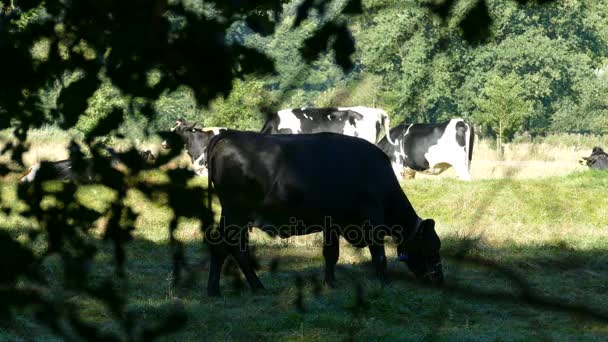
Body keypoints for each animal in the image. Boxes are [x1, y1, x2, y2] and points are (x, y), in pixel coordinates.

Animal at [204, 131, 442, 296]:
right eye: (432, 247)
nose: (438, 279)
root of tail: (230, 135)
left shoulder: (333, 222)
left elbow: (331, 254)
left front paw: (330, 283)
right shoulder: (373, 220)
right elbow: (380, 256)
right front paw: (385, 283)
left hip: (234, 216)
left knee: (229, 248)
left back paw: (232, 289)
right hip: (236, 213)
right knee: (228, 247)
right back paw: (235, 288)